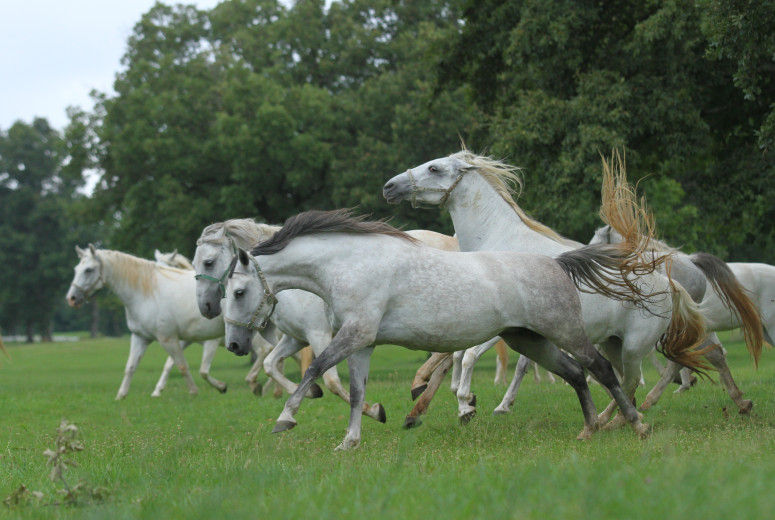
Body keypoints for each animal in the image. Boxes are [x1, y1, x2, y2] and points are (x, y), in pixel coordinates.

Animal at [384, 148, 716, 424]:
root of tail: (670, 282)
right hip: (616, 342)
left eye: (434, 168)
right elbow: (458, 357)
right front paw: (445, 403)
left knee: (658, 370)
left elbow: (467, 357)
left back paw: (630, 413)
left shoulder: (501, 327)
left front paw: (466, 405)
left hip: (637, 344)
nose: (389, 186)